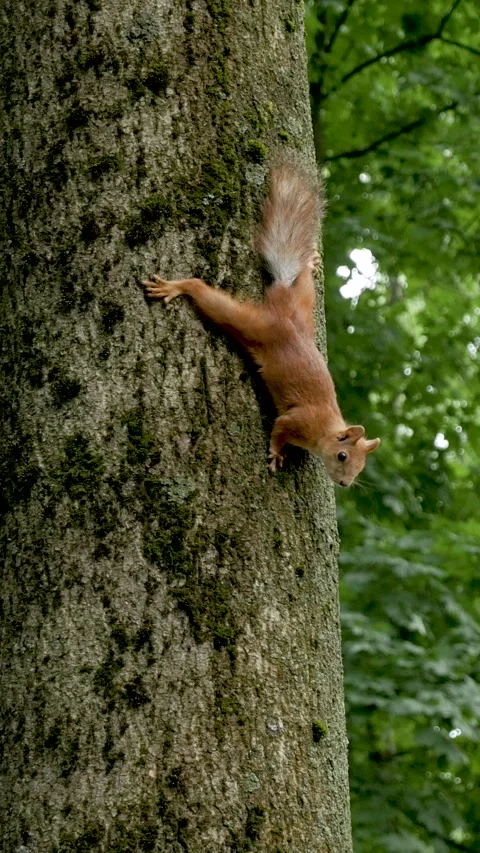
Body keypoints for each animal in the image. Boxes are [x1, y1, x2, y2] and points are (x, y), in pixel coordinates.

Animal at [143, 164, 380, 486]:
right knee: (207, 296)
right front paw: (277, 453)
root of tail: (285, 308)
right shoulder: (296, 420)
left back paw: (310, 262)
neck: (326, 428)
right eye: (343, 455)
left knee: (303, 283)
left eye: (360, 467)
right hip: (256, 325)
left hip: (303, 307)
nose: (345, 483)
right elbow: (279, 428)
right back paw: (178, 287)